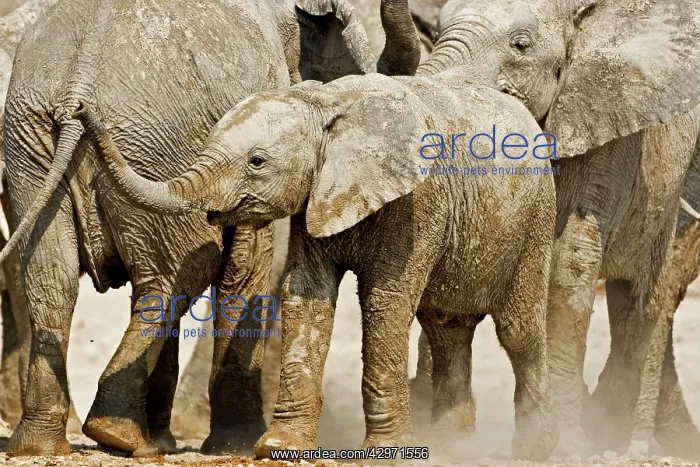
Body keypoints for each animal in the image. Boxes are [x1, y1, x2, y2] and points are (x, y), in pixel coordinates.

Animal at [0, 0, 419, 457]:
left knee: (53, 284)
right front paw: (236, 444)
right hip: (152, 143)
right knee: (174, 278)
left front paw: (171, 441)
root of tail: (77, 80)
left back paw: (47, 446)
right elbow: (247, 264)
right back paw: (115, 436)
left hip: (31, 145)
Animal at [73, 68, 561, 460]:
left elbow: (385, 302)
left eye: (257, 162)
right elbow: (306, 297)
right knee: (447, 330)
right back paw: (451, 448)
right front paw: (279, 447)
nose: (80, 107)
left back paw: (532, 451)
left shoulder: (419, 202)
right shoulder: (315, 196)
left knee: (517, 331)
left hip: (536, 218)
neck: (327, 103)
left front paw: (389, 453)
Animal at [402, 0, 700, 456]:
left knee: (641, 299)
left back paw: (611, 434)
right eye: (433, 33)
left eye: (521, 45)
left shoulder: (606, 127)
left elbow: (570, 259)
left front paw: (568, 445)